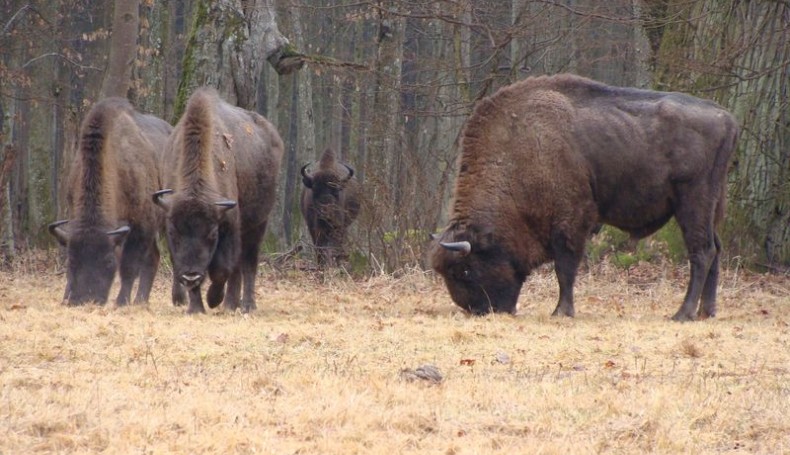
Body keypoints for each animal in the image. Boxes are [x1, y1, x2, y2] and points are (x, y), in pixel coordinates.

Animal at [49, 98, 172, 308]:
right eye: (72, 261)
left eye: (108, 261)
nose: (87, 299)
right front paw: (66, 297)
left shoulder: (141, 226)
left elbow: (129, 266)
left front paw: (121, 301)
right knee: (154, 257)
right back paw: (141, 301)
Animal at [153, 87, 284, 316]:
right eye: (173, 233)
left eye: (212, 233)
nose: (191, 276)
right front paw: (196, 308)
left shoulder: (229, 223)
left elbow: (222, 269)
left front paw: (214, 300)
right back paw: (233, 303)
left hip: (259, 224)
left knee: (248, 262)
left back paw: (245, 305)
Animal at [430, 74, 740, 320]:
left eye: (464, 271)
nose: (478, 310)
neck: (517, 154)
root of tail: (726, 117)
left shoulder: (572, 221)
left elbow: (565, 267)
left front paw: (561, 312)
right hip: (713, 205)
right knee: (716, 248)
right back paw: (706, 312)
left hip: (692, 201)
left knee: (702, 251)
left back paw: (682, 314)